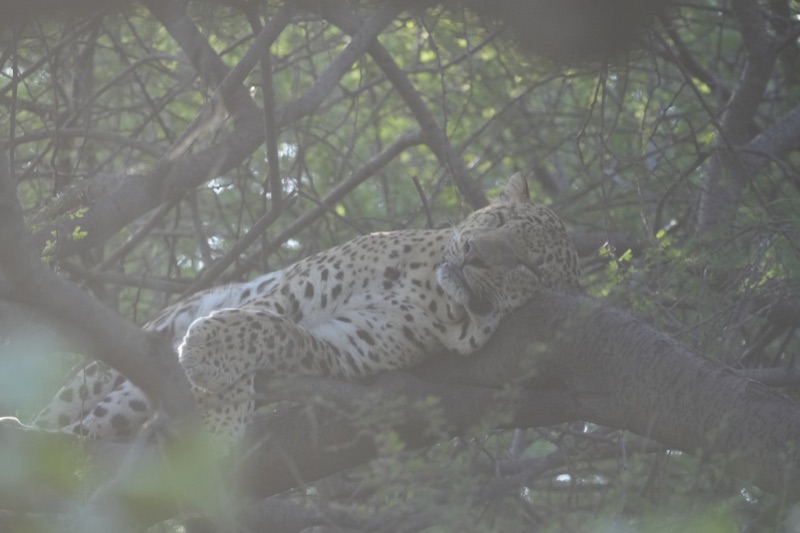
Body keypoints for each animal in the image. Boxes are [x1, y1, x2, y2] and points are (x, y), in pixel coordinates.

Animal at [27, 173, 580, 448]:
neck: (431, 292)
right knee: (63, 404)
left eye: (525, 264)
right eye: (499, 219)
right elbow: (258, 317)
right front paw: (218, 401)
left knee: (87, 426)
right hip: (110, 362)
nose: (474, 255)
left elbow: (279, 335)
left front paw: (215, 401)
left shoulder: (347, 347)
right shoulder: (292, 290)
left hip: (126, 401)